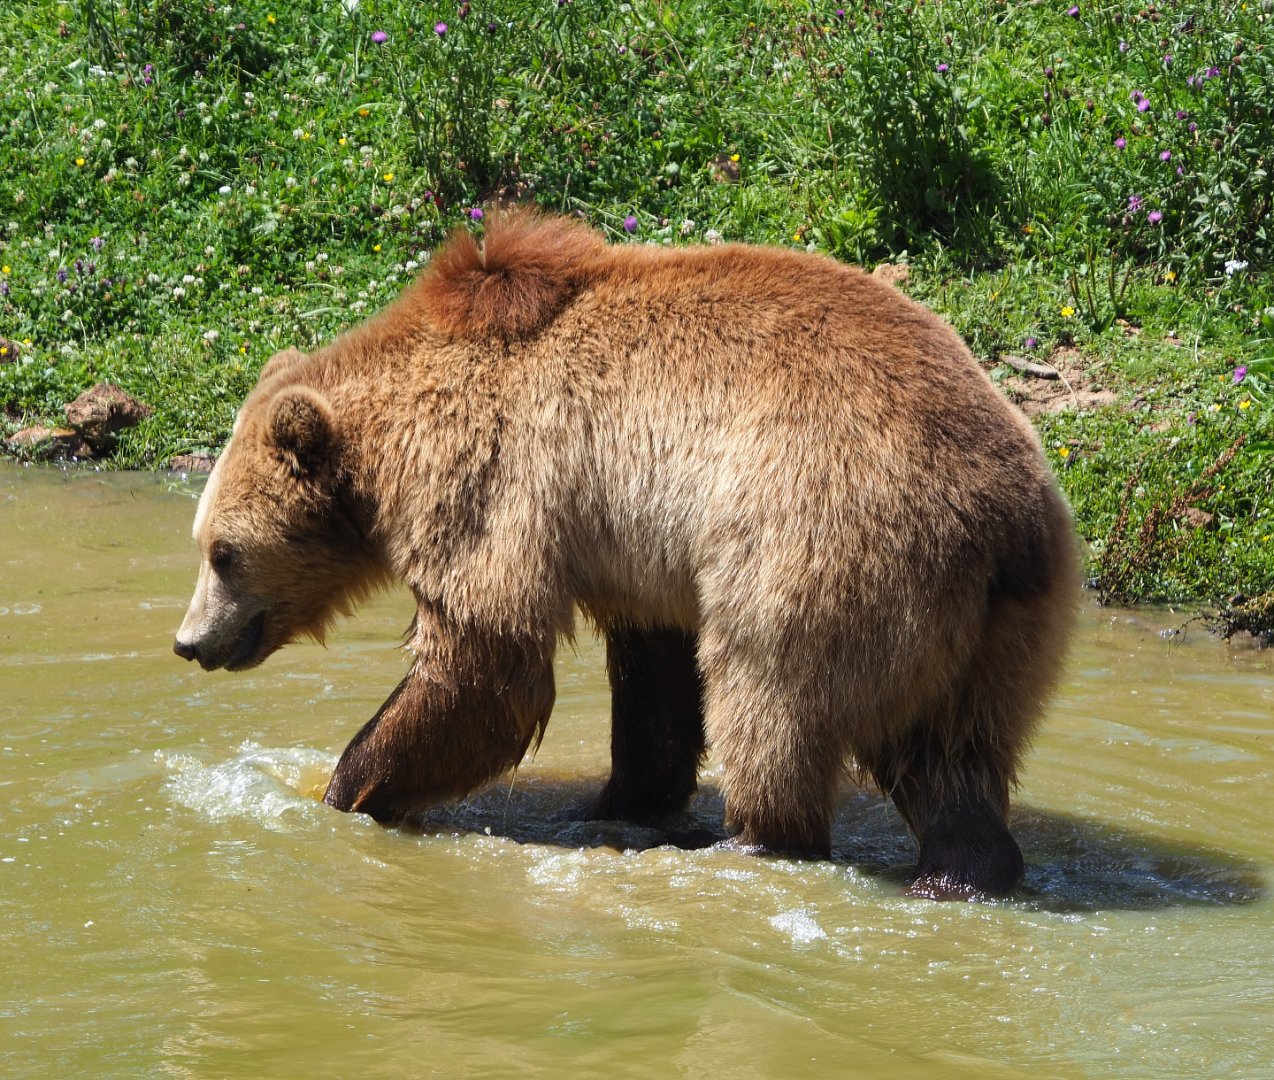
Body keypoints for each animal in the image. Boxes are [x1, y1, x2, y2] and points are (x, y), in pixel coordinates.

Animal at [173, 210, 1078, 900]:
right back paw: (960, 871)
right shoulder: (638, 545)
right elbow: (654, 679)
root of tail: (1010, 517)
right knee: (951, 756)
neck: (388, 448)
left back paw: (752, 841)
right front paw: (616, 800)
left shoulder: (493, 479)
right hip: (991, 633)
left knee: (770, 698)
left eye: (223, 553)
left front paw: (346, 787)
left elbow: (486, 659)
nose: (190, 642)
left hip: (822, 544)